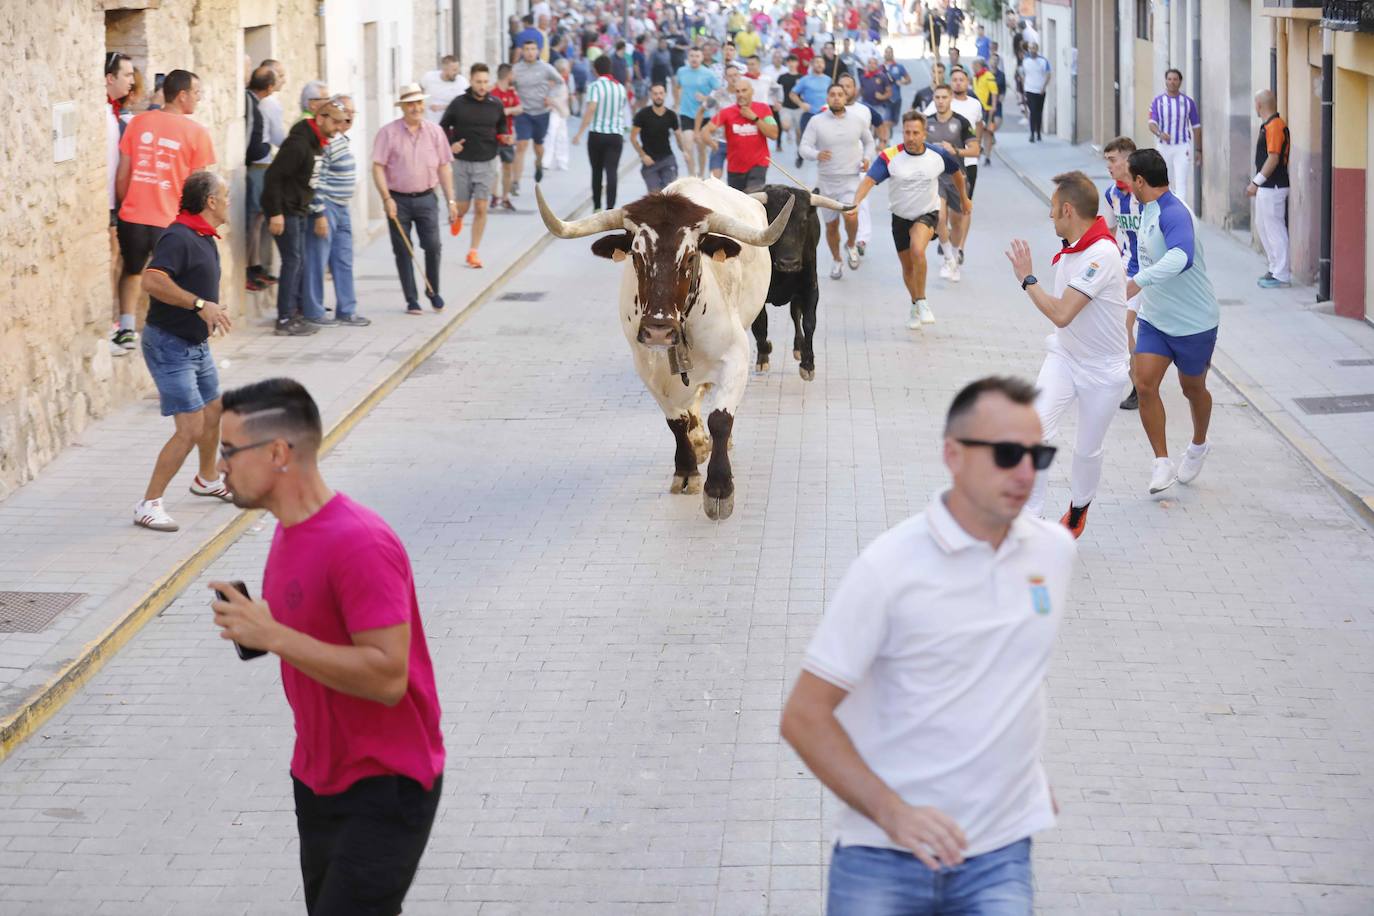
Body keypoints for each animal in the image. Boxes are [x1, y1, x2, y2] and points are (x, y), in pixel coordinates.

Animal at [535, 178, 796, 519]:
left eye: (690, 257)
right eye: (636, 256)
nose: (658, 329)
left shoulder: (735, 356)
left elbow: (721, 419)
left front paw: (719, 488)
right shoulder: (648, 368)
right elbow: (677, 421)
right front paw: (686, 470)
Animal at [752, 186, 824, 379]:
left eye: (804, 221)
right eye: (771, 219)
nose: (789, 263)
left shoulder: (810, 288)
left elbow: (809, 322)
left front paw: (808, 364)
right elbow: (760, 324)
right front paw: (763, 355)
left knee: (795, 314)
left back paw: (799, 347)